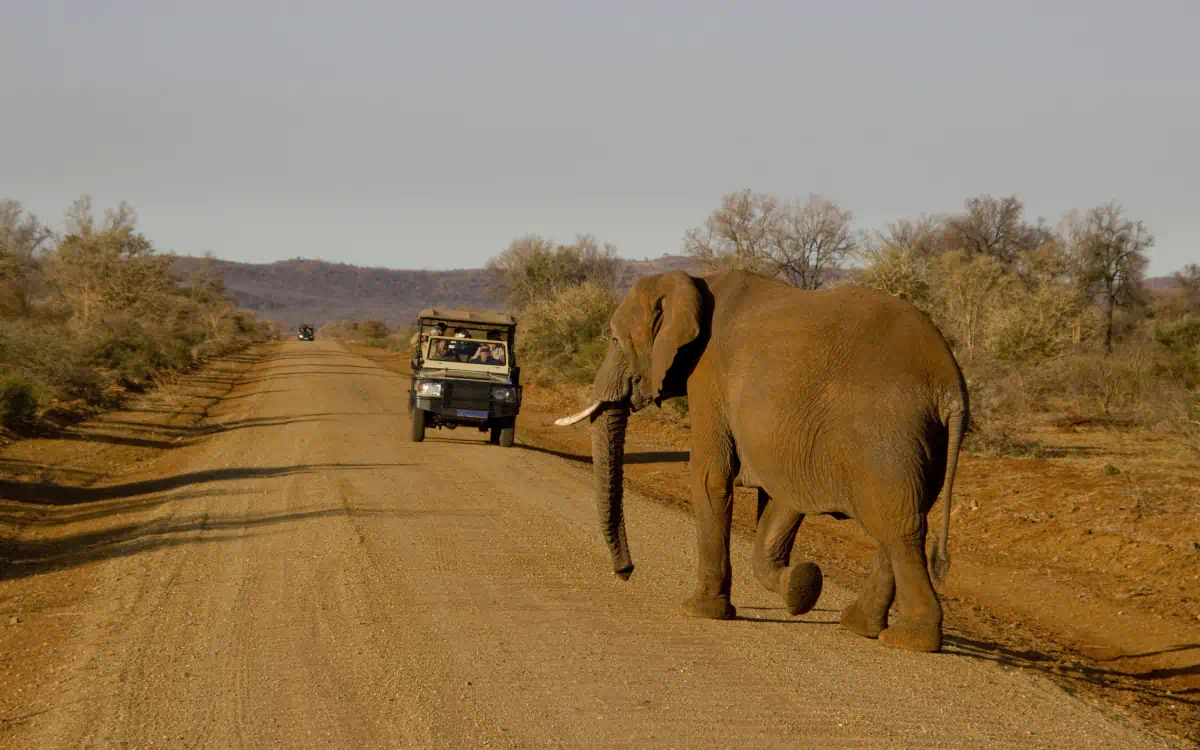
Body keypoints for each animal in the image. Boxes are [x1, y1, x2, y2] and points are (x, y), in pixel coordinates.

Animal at [556, 267, 969, 648]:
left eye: (614, 339)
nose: (626, 571)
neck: (695, 283)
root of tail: (951, 387)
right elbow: (779, 501)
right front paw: (801, 587)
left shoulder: (708, 376)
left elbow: (710, 477)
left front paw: (701, 611)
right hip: (923, 444)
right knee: (896, 526)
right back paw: (858, 626)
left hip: (888, 437)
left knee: (899, 528)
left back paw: (910, 640)